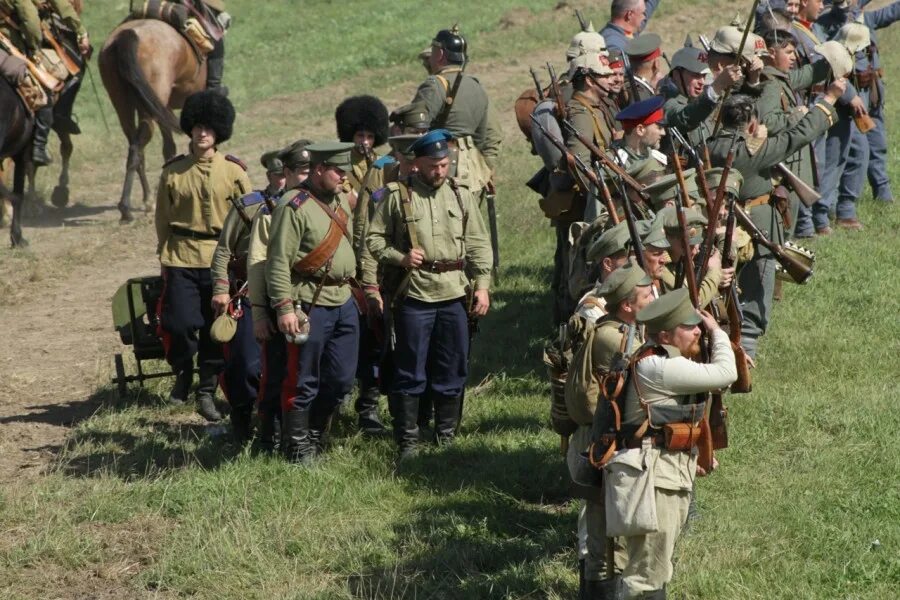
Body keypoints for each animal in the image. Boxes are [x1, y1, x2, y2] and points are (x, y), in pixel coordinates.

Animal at [98, 21, 206, 224]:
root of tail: (127, 34)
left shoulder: (163, 109)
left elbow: (169, 148)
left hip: (125, 106)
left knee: (136, 149)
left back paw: (146, 201)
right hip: (148, 110)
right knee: (136, 149)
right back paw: (126, 209)